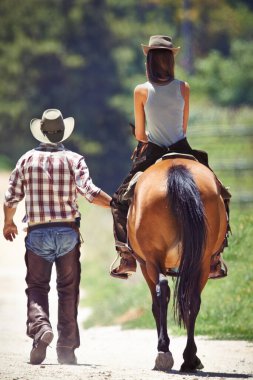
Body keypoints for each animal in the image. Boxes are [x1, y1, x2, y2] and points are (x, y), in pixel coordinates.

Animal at [127, 156, 226, 372]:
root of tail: (175, 170)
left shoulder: (145, 264)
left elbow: (155, 305)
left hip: (152, 260)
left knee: (162, 292)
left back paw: (165, 351)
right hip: (201, 262)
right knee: (192, 299)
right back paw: (189, 358)